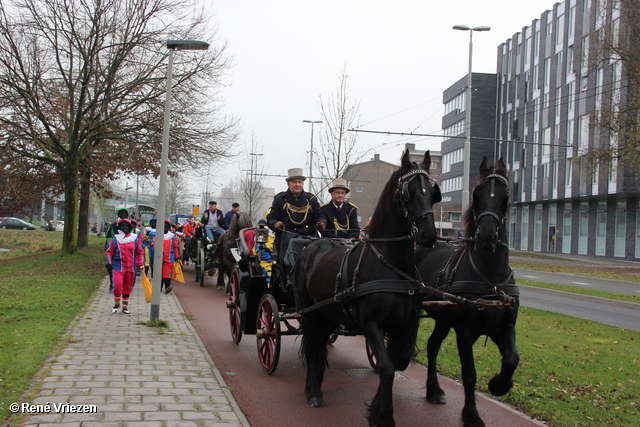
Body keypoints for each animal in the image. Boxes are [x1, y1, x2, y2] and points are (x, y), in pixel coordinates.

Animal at [296, 150, 440, 427]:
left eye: (432, 192)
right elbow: (386, 367)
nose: (428, 235)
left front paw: (378, 407)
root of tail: (311, 246)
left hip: (329, 314)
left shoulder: (404, 324)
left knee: (320, 345)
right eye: (408, 192)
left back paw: (318, 379)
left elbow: (397, 362)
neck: (391, 264)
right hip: (309, 312)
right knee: (311, 347)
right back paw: (313, 391)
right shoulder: (371, 324)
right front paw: (382, 415)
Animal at [418, 158, 516, 427]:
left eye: (505, 197)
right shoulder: (464, 330)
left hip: (442, 319)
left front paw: (499, 385)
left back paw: (434, 391)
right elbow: (469, 374)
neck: (491, 280)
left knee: (432, 346)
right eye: (476, 195)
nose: (486, 235)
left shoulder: (504, 327)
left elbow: (512, 359)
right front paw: (472, 416)